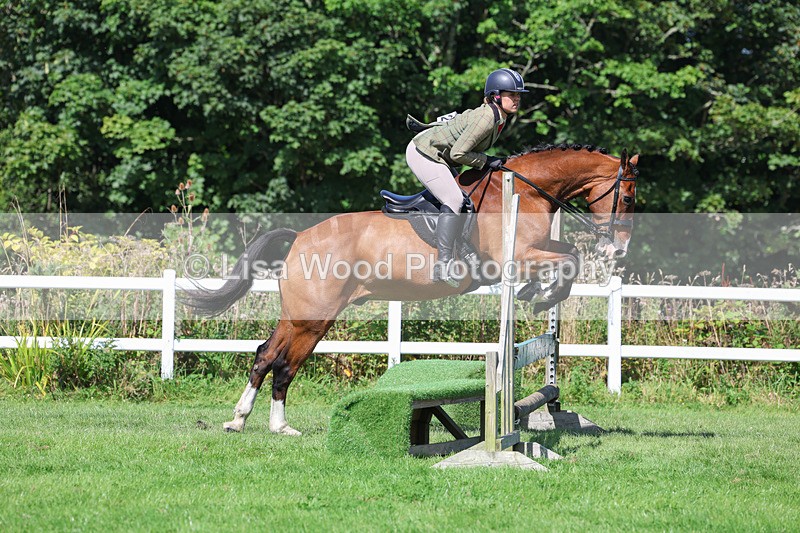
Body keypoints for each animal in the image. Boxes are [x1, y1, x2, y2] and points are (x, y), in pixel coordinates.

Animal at [187, 144, 639, 435]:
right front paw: (542, 296)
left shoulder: (536, 249)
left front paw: (537, 294)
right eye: (629, 197)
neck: (527, 189)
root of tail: (299, 237)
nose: (618, 249)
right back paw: (279, 426)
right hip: (313, 317)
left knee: (266, 355)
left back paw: (241, 421)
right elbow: (569, 260)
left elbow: (568, 255)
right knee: (284, 364)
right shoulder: (516, 255)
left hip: (299, 315)